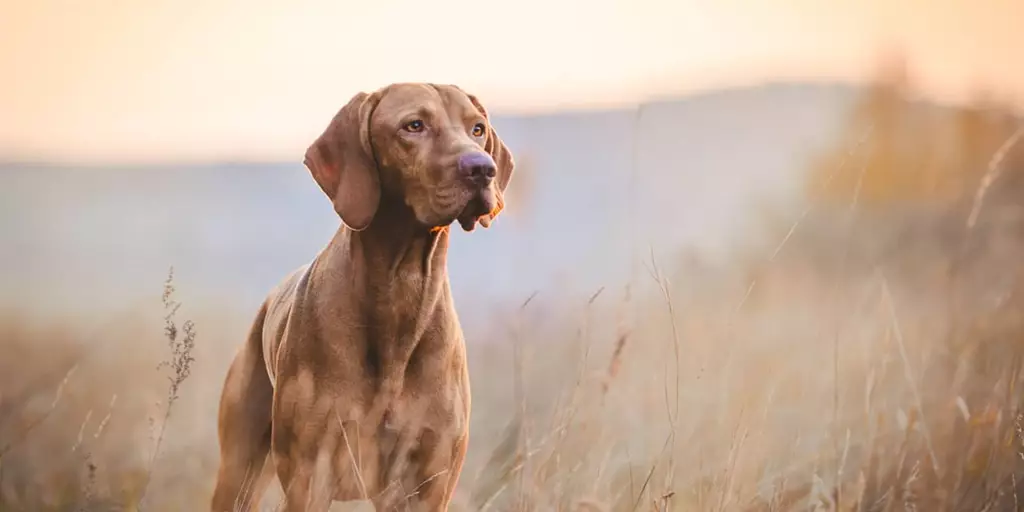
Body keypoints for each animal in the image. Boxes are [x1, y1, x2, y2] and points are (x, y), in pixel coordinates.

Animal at [209, 81, 512, 509]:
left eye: (478, 129)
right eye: (413, 125)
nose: (482, 168)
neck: (401, 289)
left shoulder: (428, 482)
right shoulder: (309, 476)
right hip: (239, 471)